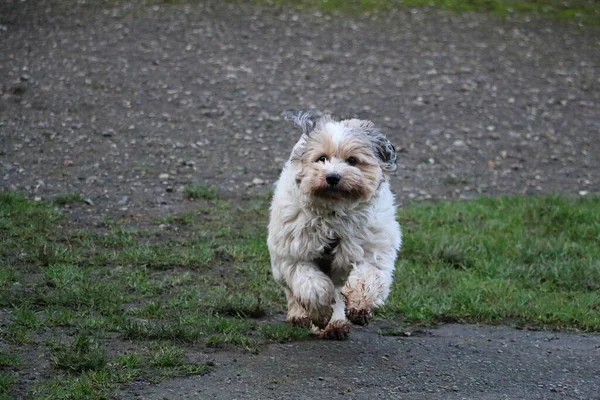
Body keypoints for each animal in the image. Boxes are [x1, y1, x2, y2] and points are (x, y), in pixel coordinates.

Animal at [268, 110, 404, 340]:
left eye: (353, 160)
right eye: (321, 158)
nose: (332, 177)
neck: (335, 214)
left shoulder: (372, 248)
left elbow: (367, 276)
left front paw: (359, 305)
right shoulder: (294, 253)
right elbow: (311, 285)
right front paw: (320, 312)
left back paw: (336, 324)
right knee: (292, 290)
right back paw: (300, 314)